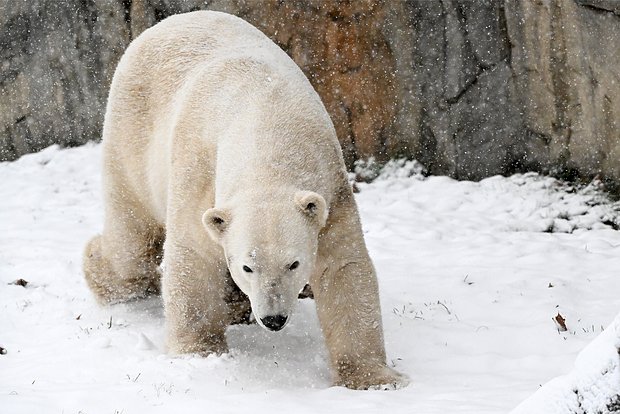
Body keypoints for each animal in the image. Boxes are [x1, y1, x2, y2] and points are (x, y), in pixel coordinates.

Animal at [85, 10, 410, 392]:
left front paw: (373, 378)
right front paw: (199, 351)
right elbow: (193, 256)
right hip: (132, 134)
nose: (273, 318)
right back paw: (99, 264)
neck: (267, 123)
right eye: (247, 267)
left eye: (293, 264)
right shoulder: (199, 170)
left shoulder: (331, 188)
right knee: (131, 245)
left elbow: (343, 268)